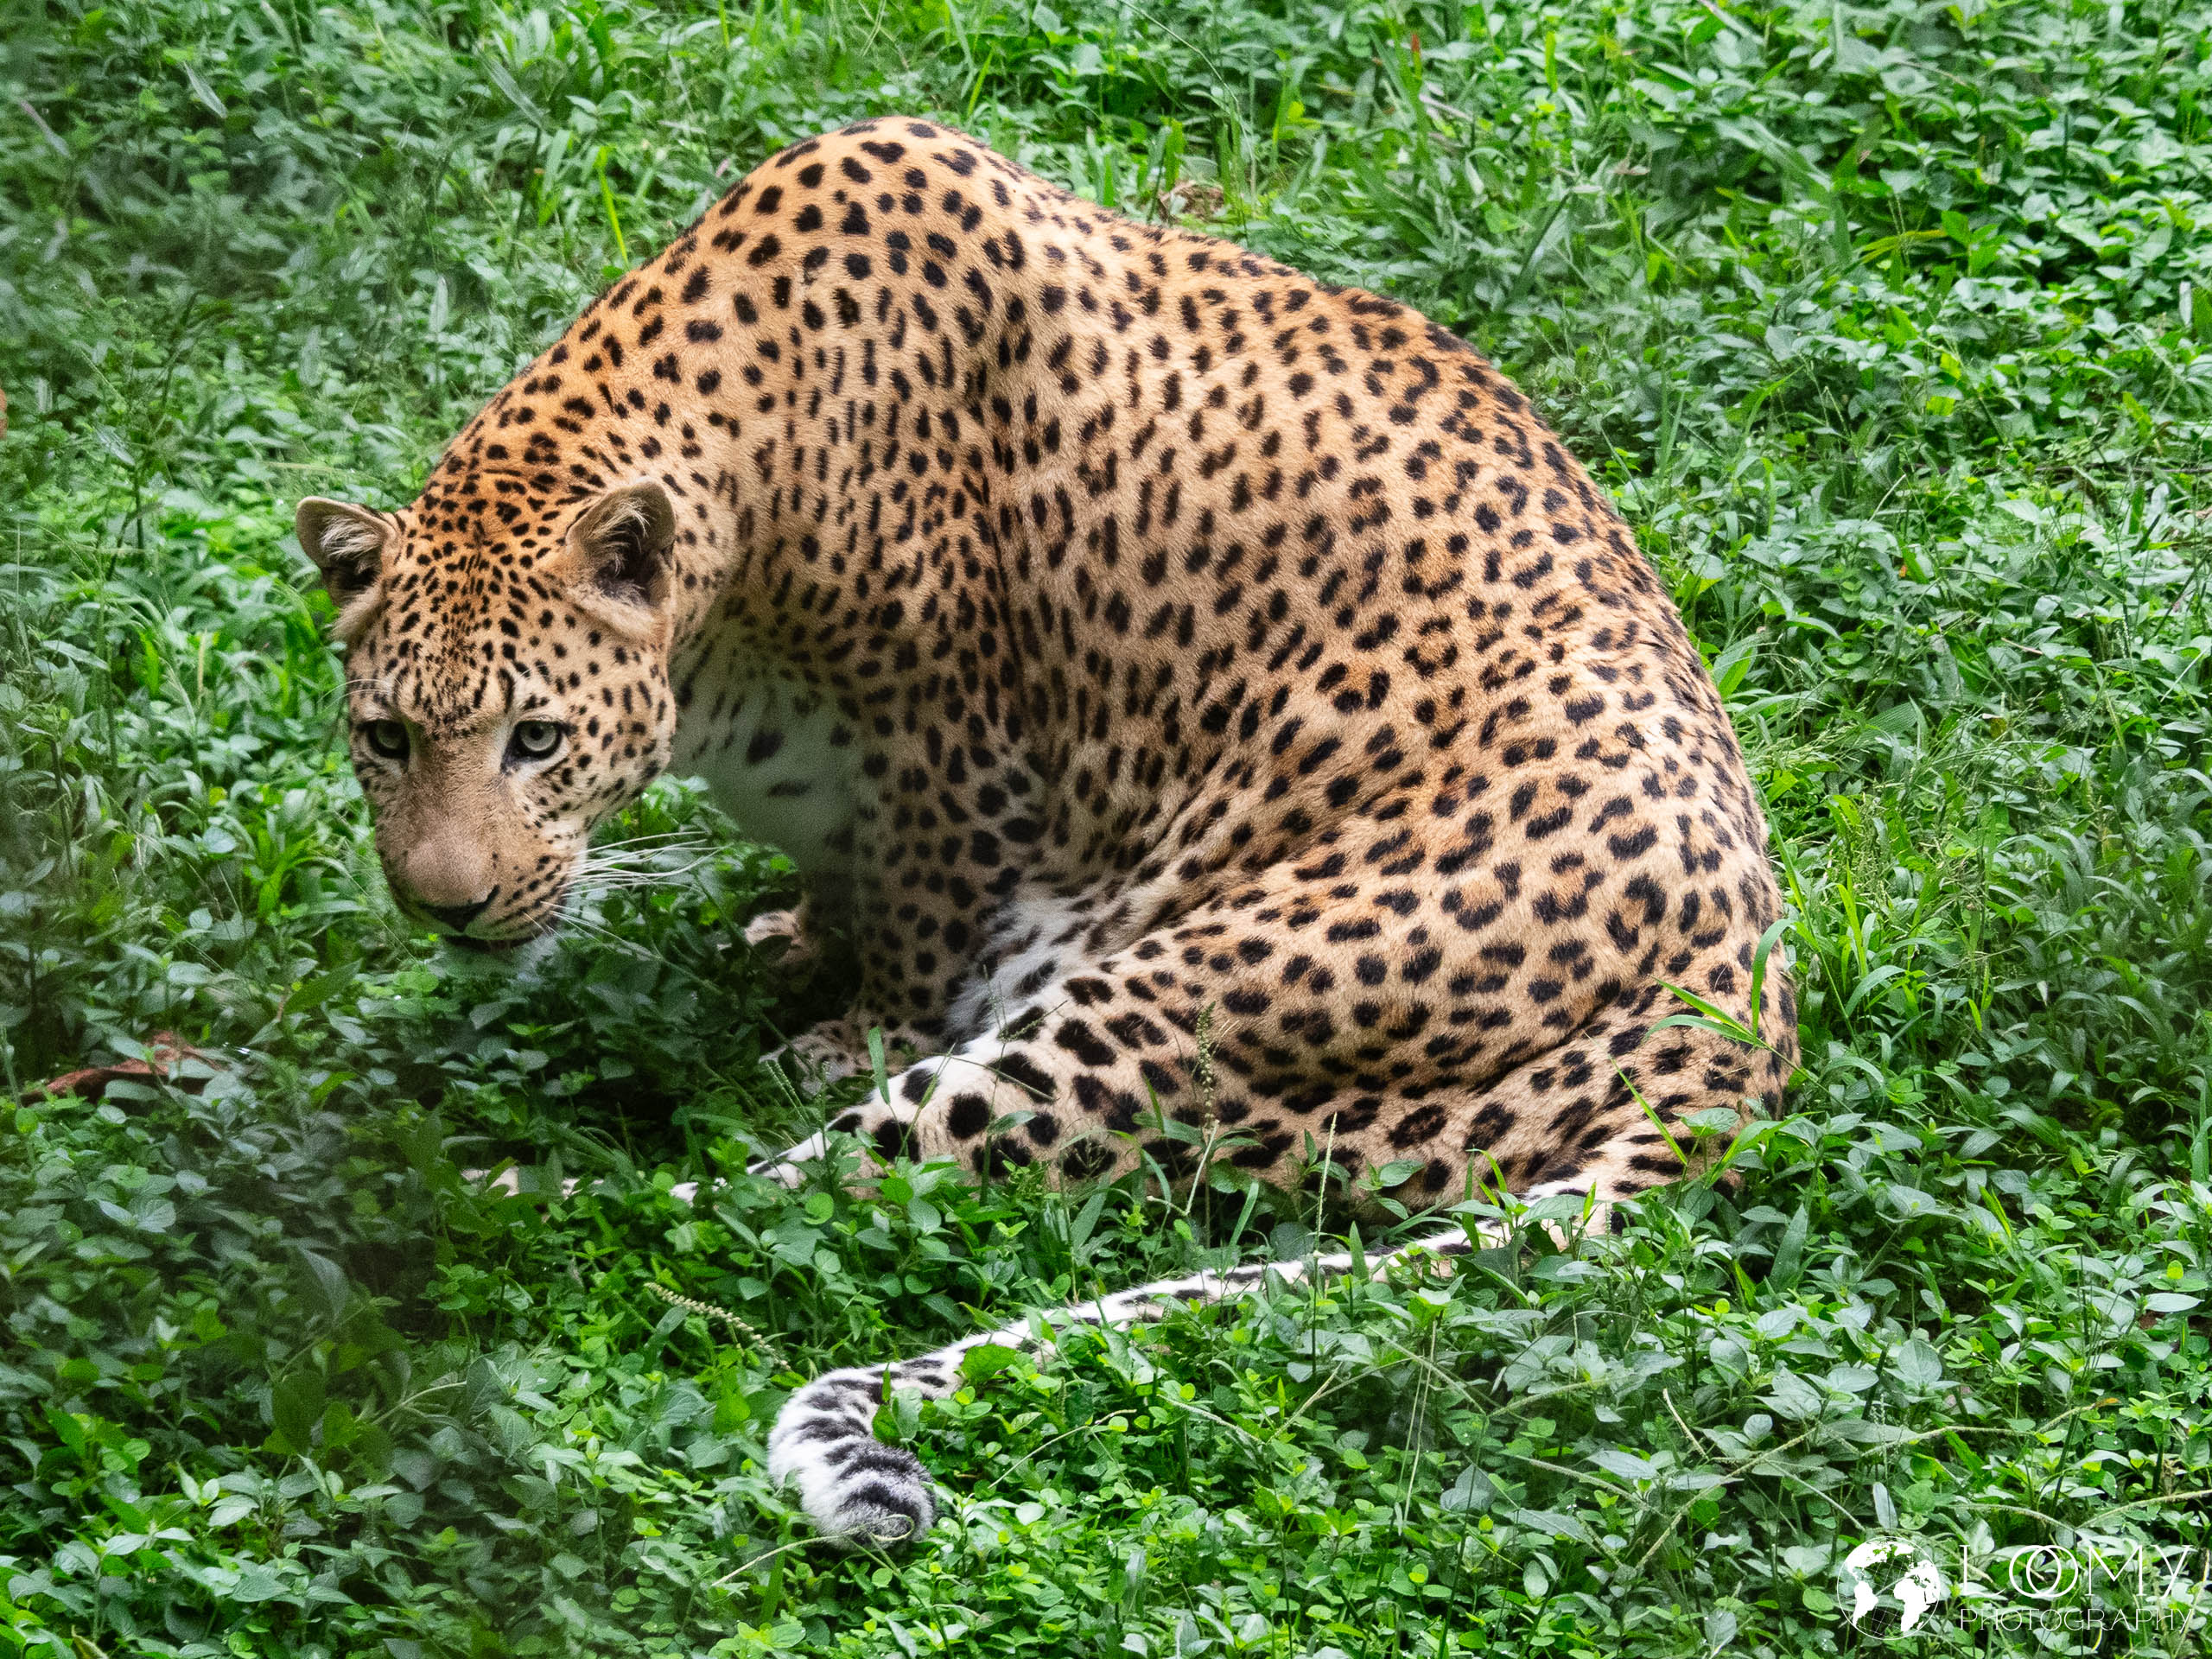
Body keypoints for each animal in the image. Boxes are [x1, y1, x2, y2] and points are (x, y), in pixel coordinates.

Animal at [296, 119, 1798, 1546]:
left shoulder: (955, 750)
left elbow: (916, 930)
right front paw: (794, 941)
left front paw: (845, 1026)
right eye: (388, 738)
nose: (445, 906)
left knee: (785, 1192)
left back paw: (447, 1192)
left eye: (535, 740)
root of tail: (1736, 1056)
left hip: (1163, 1011)